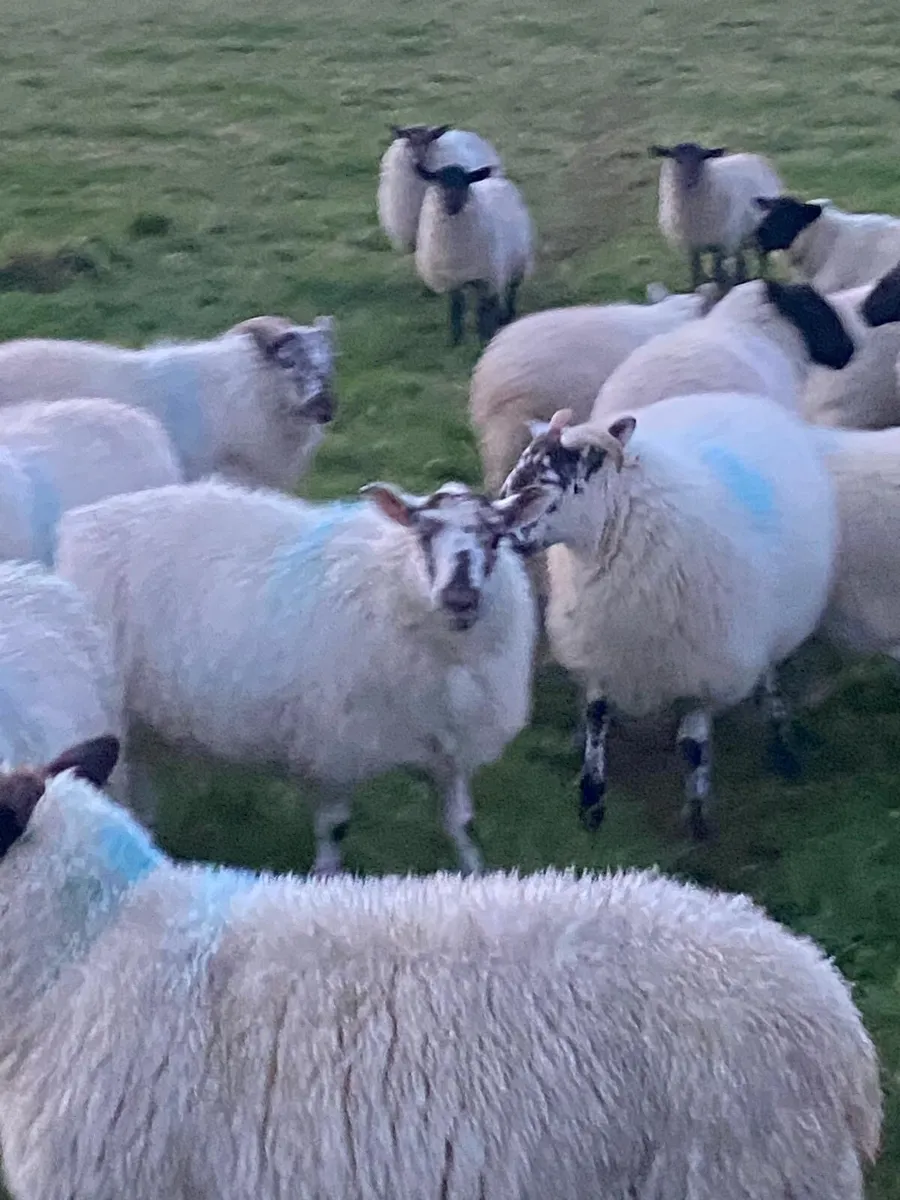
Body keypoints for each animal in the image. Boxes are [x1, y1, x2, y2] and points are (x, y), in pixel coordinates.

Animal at [54, 477, 547, 876]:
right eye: (423, 532)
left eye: (495, 537)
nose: (459, 598)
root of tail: (84, 521)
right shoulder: (335, 746)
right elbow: (334, 829)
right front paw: (327, 880)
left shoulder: (450, 745)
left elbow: (461, 826)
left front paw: (477, 878)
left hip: (145, 719)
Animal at [414, 163, 534, 344]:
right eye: (438, 182)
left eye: (465, 182)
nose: (450, 204)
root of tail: (496, 180)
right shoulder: (453, 279)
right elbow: (456, 307)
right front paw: (455, 340)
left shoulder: (485, 278)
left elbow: (482, 309)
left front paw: (483, 337)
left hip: (515, 262)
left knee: (509, 292)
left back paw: (506, 317)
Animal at [500, 395, 837, 841]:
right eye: (515, 474)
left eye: (544, 484)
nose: (493, 531)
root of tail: (735, 397)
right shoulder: (599, 645)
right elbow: (597, 718)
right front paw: (591, 803)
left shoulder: (704, 668)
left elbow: (692, 745)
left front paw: (697, 822)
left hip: (760, 627)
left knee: (767, 674)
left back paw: (782, 743)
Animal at [650, 141, 784, 289]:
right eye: (677, 159)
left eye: (701, 158)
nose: (690, 180)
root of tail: (751, 156)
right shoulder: (692, 245)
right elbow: (695, 272)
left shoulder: (720, 243)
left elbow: (717, 271)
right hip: (739, 237)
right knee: (741, 262)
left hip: (757, 233)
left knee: (761, 260)